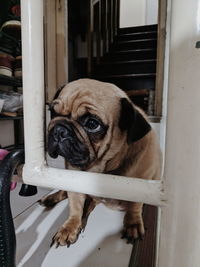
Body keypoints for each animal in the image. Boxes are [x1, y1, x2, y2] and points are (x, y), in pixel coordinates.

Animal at [39, 78, 162, 248]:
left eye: (92, 124)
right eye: (53, 112)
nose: (59, 129)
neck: (102, 168)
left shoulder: (142, 183)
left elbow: (135, 206)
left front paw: (133, 224)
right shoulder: (75, 181)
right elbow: (75, 207)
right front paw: (70, 227)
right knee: (65, 192)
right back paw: (51, 198)